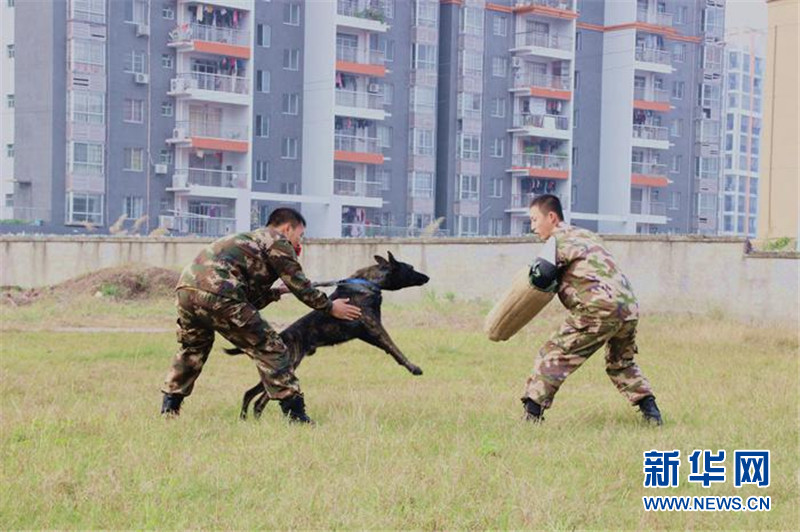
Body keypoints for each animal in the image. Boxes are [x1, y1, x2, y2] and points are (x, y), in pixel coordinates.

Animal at [225, 251, 432, 418]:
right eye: (411, 268)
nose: (428, 277)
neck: (369, 282)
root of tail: (282, 336)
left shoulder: (368, 334)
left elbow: (389, 349)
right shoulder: (375, 327)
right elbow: (394, 348)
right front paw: (413, 367)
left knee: (251, 393)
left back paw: (246, 419)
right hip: (288, 368)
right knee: (262, 399)